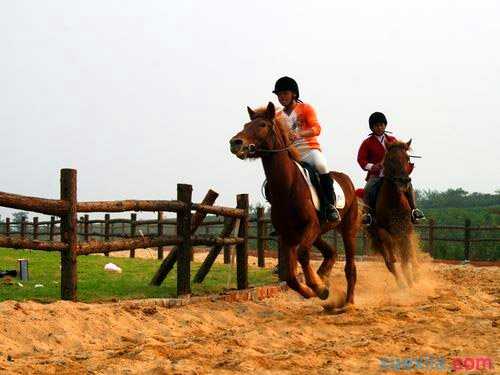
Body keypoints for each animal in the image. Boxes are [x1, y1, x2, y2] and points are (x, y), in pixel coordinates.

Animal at [230, 102, 360, 306]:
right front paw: (313, 289)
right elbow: (290, 277)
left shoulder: (311, 226)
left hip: (347, 230)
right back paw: (324, 277)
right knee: (330, 252)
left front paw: (319, 288)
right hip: (318, 233)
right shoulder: (288, 236)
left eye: (262, 125)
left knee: (350, 267)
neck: (288, 186)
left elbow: (303, 254)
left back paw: (348, 302)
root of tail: (346, 180)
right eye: (245, 125)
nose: (235, 143)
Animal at [370, 140, 420, 290]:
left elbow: (408, 255)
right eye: (391, 159)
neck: (393, 200)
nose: (404, 180)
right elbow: (391, 243)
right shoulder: (380, 230)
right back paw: (402, 283)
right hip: (377, 238)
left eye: (408, 158)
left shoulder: (407, 229)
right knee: (390, 262)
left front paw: (412, 278)